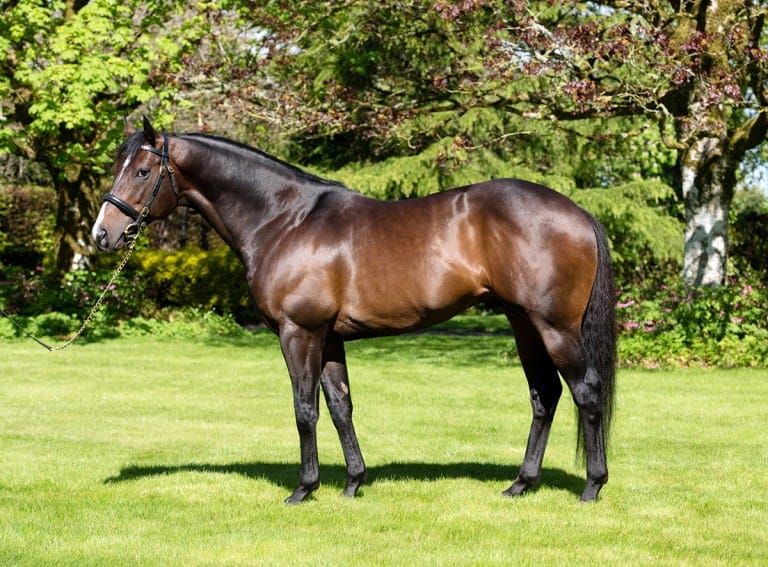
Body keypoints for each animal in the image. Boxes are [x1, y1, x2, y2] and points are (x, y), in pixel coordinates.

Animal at [92, 117, 616, 503]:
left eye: (141, 172)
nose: (102, 234)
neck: (284, 219)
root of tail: (579, 213)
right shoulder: (329, 337)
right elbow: (341, 406)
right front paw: (352, 482)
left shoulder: (298, 332)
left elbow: (305, 409)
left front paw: (304, 489)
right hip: (524, 324)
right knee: (545, 395)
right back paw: (521, 484)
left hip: (554, 327)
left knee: (586, 392)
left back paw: (592, 487)